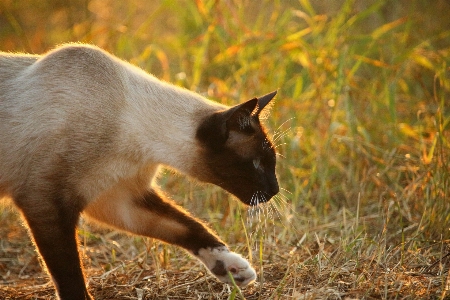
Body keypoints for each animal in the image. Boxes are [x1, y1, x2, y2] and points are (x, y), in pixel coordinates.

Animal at [0, 43, 278, 298]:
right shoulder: (46, 203)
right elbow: (70, 278)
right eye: (259, 163)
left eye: (271, 162)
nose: (275, 189)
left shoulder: (120, 201)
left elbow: (190, 227)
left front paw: (232, 268)